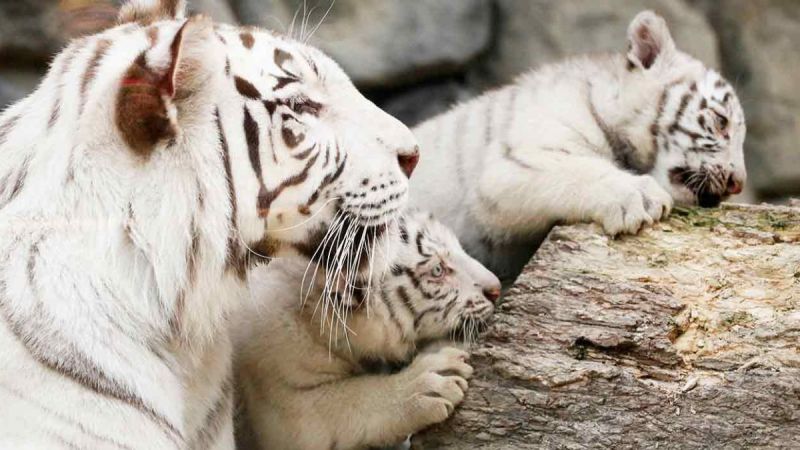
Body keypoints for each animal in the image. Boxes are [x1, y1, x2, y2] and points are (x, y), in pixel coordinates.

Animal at [233, 210, 500, 450]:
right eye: (437, 271)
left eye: (459, 247)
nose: (496, 288)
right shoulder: (281, 404)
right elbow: (348, 400)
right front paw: (431, 382)